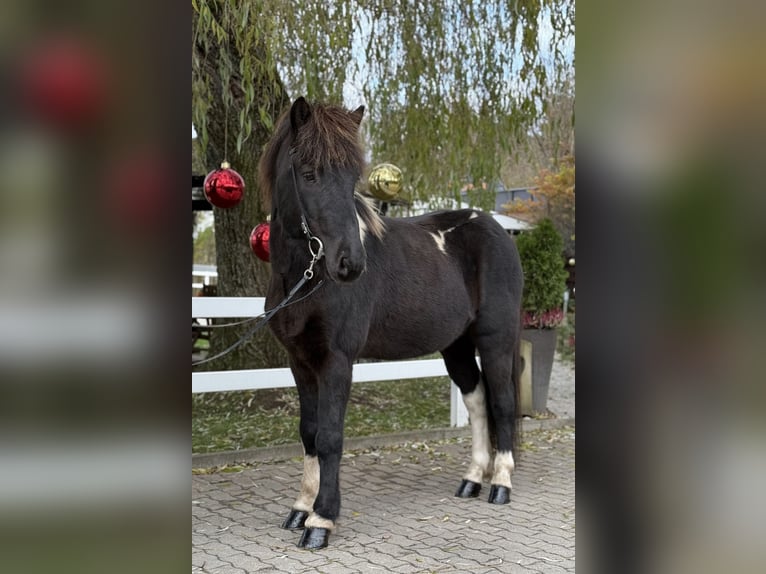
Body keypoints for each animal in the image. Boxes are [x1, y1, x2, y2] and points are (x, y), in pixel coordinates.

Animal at [260, 100, 524, 552]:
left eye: (353, 178)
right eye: (309, 173)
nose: (351, 263)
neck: (305, 279)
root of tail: (497, 230)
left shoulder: (337, 362)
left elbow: (330, 437)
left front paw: (321, 520)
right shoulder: (300, 362)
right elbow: (309, 432)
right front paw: (299, 509)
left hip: (496, 341)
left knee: (502, 403)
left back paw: (500, 484)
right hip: (455, 347)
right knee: (476, 401)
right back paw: (472, 479)